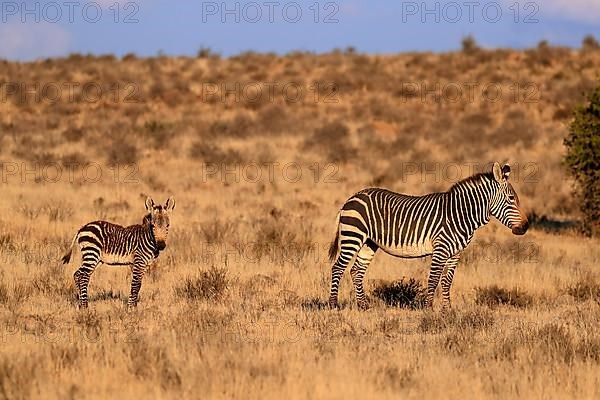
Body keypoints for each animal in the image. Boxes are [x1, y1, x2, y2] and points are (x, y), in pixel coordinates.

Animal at [328, 162, 528, 310]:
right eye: (511, 199)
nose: (525, 227)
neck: (459, 214)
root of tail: (352, 198)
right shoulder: (441, 249)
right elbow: (433, 279)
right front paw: (429, 309)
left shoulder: (455, 254)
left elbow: (447, 282)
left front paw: (447, 310)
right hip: (352, 236)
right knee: (338, 267)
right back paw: (333, 305)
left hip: (368, 242)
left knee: (356, 271)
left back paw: (363, 306)